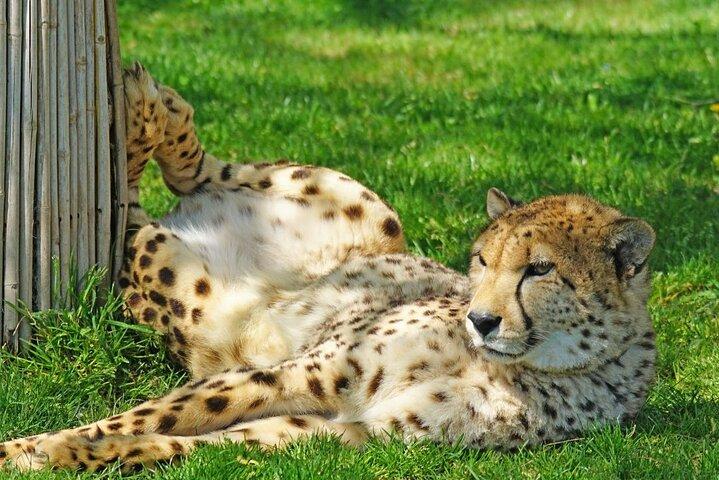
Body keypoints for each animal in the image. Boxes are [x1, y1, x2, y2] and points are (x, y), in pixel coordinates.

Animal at [0, 63, 657, 472]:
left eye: (539, 269)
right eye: (482, 260)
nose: (481, 319)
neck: (514, 367)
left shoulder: (350, 430)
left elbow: (178, 441)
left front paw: (56, 456)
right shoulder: (313, 370)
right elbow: (148, 416)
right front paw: (30, 448)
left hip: (178, 284)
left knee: (135, 217)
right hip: (361, 204)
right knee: (192, 171)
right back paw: (148, 108)